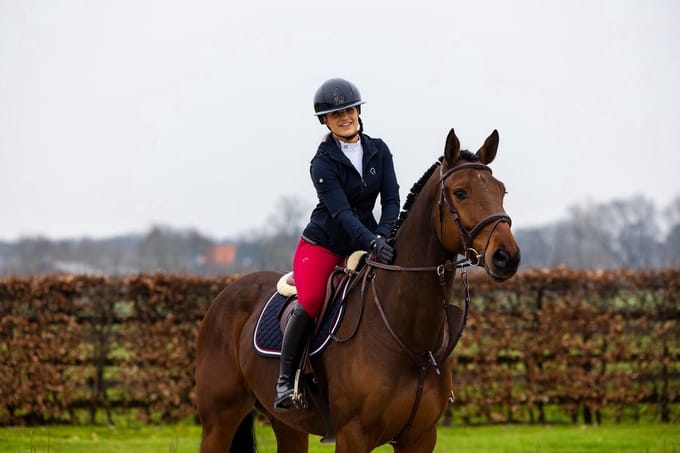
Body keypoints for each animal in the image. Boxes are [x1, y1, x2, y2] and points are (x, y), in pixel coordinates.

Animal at [195, 128, 521, 452]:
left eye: (502, 191)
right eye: (461, 192)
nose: (507, 257)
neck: (410, 339)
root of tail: (226, 294)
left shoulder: (421, 437)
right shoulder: (353, 435)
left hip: (288, 426)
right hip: (219, 422)